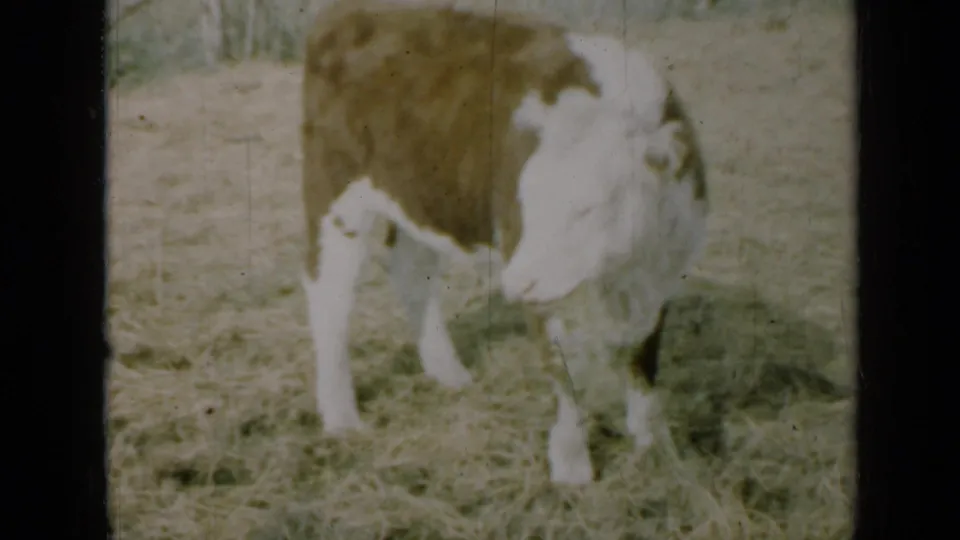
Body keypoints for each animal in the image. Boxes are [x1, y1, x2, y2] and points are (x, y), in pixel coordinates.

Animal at [299, 0, 708, 485]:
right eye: (524, 202)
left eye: (589, 207)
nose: (516, 283)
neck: (619, 273)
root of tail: (347, 12)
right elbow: (564, 372)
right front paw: (572, 469)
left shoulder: (661, 278)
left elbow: (643, 363)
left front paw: (656, 450)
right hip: (335, 195)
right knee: (329, 296)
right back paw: (341, 415)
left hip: (423, 194)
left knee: (411, 271)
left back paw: (447, 372)